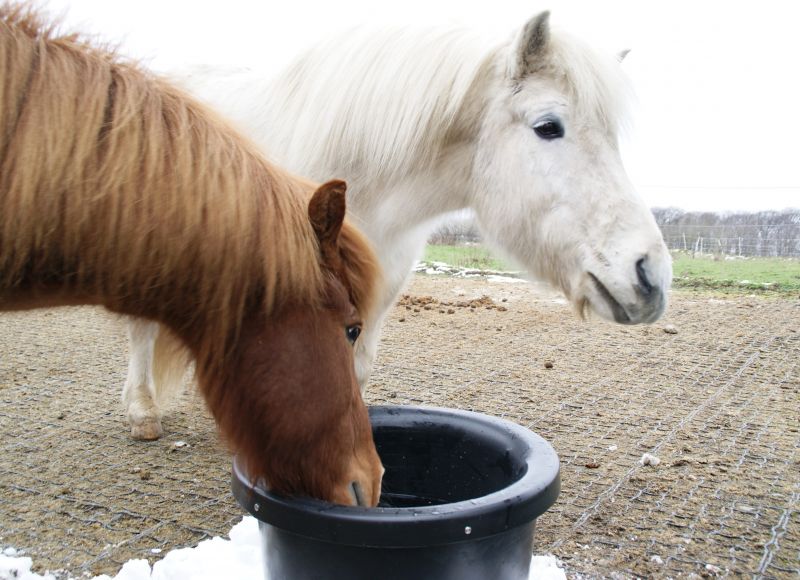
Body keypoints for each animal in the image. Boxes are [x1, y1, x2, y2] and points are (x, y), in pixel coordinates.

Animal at [125, 12, 672, 440]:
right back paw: (143, 412)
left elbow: (354, 368)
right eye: (548, 127)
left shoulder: (377, 290)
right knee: (142, 330)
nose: (651, 276)